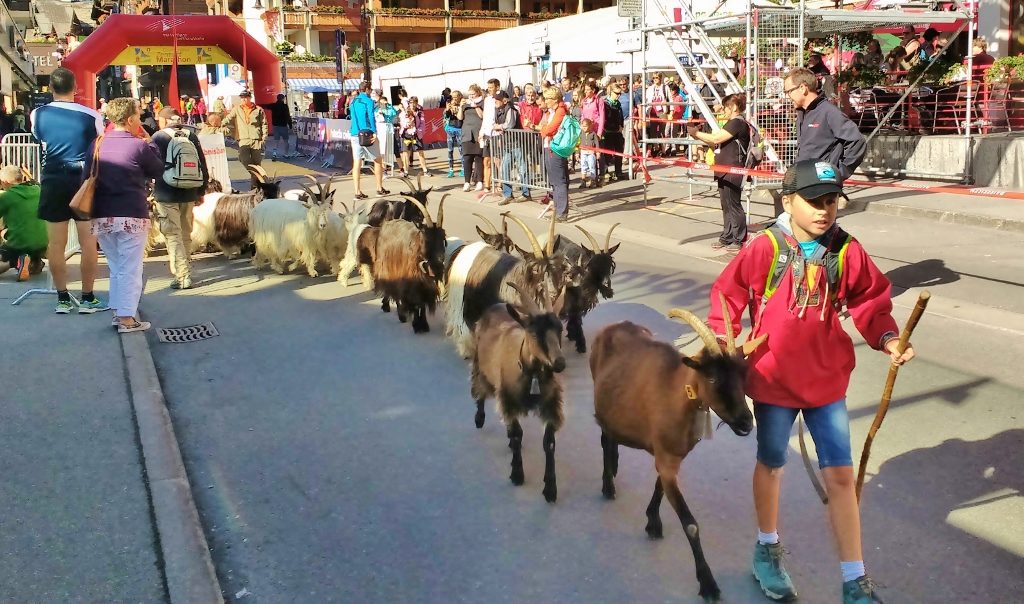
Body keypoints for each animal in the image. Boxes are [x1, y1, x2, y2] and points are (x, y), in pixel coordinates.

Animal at [371, 196, 448, 333]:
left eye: (443, 238)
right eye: (427, 239)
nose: (439, 265)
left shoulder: (426, 282)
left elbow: (422, 302)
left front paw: (424, 324)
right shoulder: (409, 279)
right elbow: (416, 301)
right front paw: (417, 325)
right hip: (387, 267)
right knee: (393, 291)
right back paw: (398, 313)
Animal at [471, 283, 566, 503]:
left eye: (560, 329)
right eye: (533, 333)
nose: (560, 363)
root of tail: (496, 305)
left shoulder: (551, 404)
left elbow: (549, 443)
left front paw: (550, 488)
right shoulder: (508, 400)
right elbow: (517, 435)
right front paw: (517, 474)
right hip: (480, 365)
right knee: (479, 389)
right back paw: (479, 418)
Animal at [588, 296, 767, 602]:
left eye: (742, 374)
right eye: (712, 378)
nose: (745, 422)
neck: (676, 391)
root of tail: (613, 326)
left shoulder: (671, 457)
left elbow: (659, 486)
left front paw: (653, 522)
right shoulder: (666, 458)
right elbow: (691, 524)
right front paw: (708, 584)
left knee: (611, 438)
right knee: (604, 438)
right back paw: (608, 484)